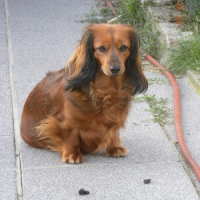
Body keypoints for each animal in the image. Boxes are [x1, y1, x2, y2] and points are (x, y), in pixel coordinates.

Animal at [20, 23, 148, 164]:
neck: (106, 91)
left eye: (124, 47)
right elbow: (71, 136)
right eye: (101, 48)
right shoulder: (64, 122)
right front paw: (72, 154)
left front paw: (114, 147)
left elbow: (113, 131)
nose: (115, 69)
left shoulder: (114, 119)